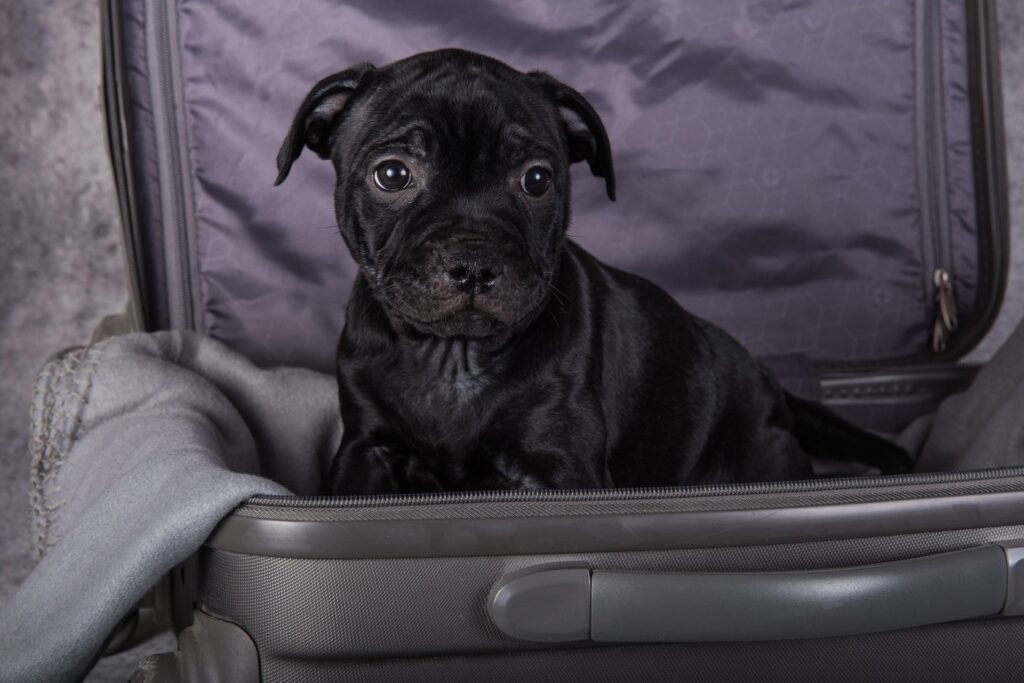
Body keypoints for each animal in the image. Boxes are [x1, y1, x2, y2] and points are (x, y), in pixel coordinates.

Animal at [274, 49, 913, 497]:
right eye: (392, 175)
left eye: (537, 179)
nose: (475, 261)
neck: (454, 359)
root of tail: (772, 385)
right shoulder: (365, 453)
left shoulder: (564, 472)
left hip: (761, 454)